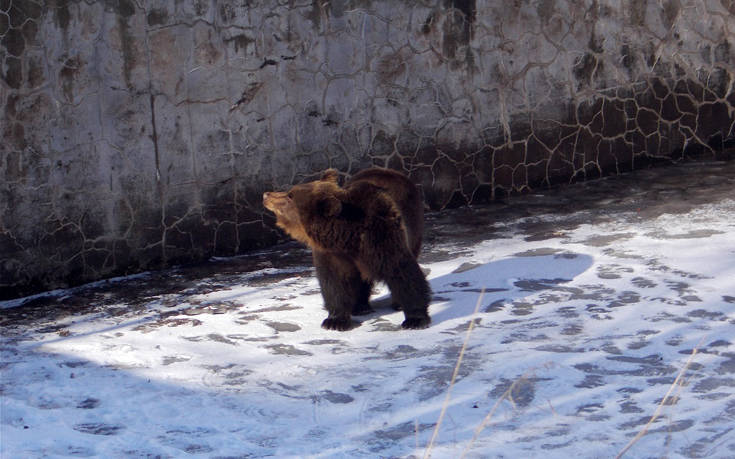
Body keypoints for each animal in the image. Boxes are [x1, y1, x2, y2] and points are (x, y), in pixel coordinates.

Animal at [264, 168, 432, 330]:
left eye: (290, 196)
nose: (266, 194)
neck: (347, 237)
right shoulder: (332, 254)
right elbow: (334, 282)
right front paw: (335, 321)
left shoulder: (382, 236)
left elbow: (402, 272)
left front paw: (415, 319)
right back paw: (360, 306)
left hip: (413, 223)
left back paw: (395, 304)